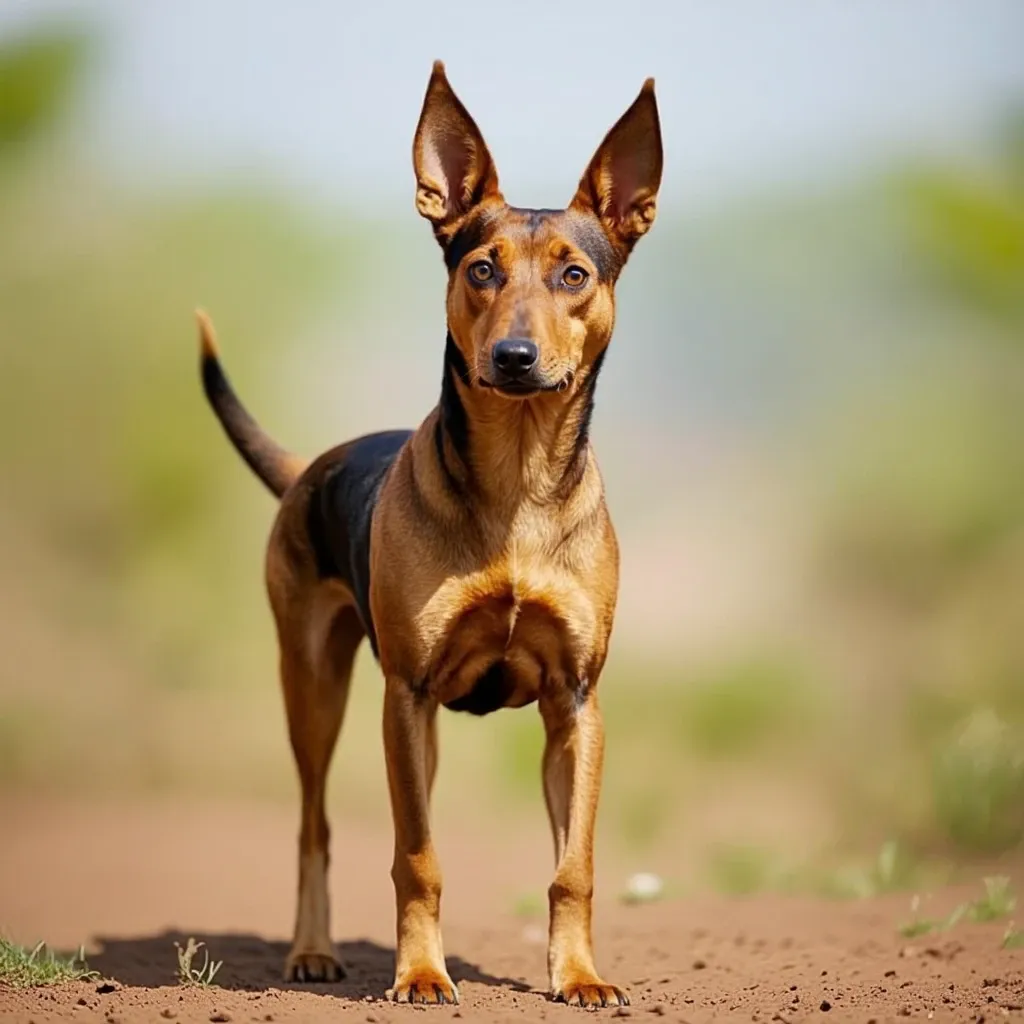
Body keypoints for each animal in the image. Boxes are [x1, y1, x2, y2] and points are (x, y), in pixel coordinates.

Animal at [197, 61, 663, 1007]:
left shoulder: (577, 704)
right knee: (315, 825)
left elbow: (573, 867)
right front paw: (418, 973)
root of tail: (310, 467)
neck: (518, 484)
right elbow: (416, 857)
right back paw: (312, 950)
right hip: (316, 685)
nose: (515, 358)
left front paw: (580, 976)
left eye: (573, 276)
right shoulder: (404, 693)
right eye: (481, 269)